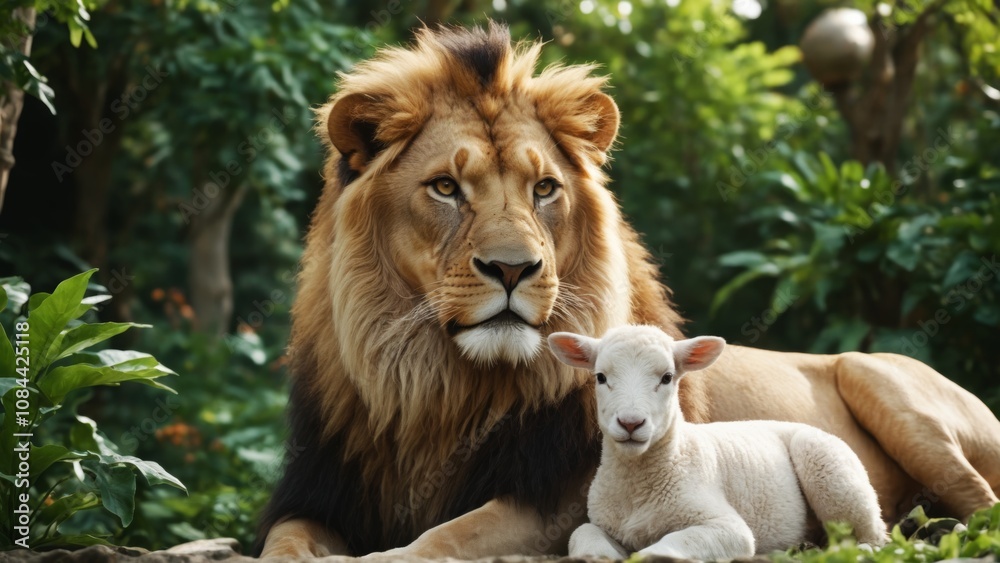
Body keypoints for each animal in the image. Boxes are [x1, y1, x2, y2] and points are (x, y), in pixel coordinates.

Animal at [548, 325, 888, 560]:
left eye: (667, 377)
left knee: (873, 536)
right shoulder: (604, 522)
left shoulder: (728, 528)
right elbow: (582, 534)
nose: (631, 423)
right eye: (601, 377)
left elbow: (671, 545)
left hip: (831, 470)